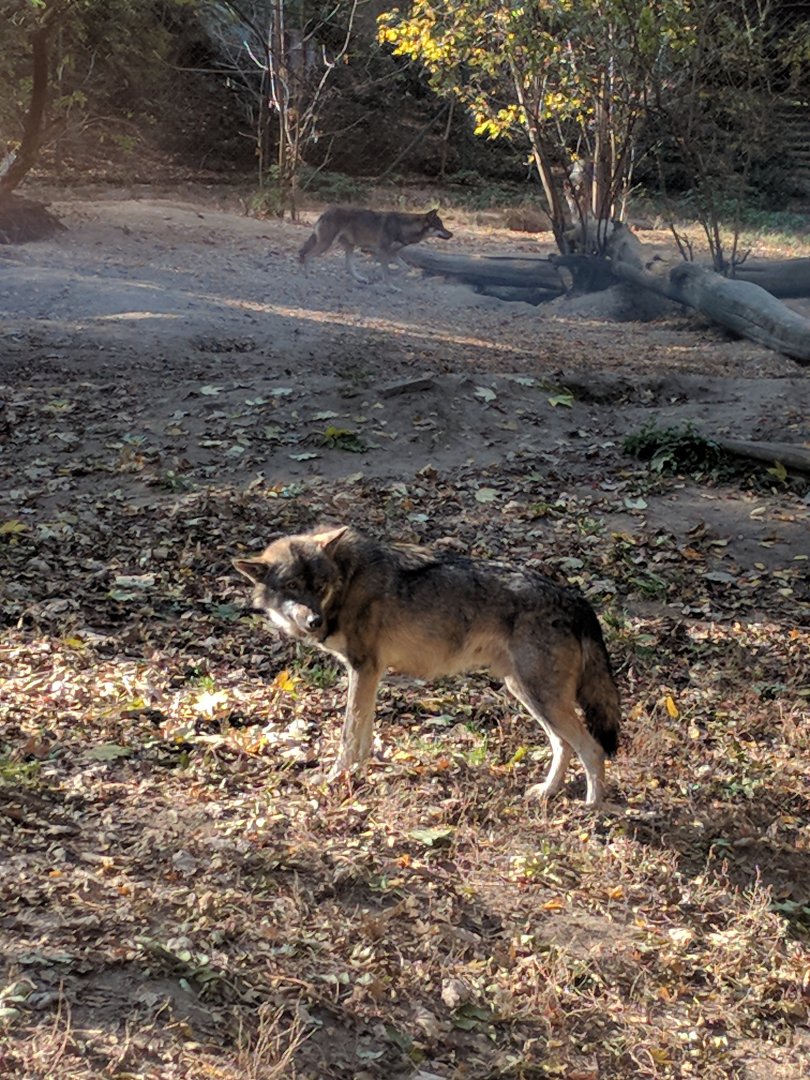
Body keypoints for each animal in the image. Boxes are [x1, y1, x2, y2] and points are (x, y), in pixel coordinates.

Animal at [234, 526, 621, 805]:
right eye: (293, 586)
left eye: (320, 585)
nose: (314, 621)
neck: (347, 582)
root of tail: (574, 597)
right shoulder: (369, 674)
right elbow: (363, 736)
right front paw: (356, 775)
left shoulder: (364, 669)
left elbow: (348, 736)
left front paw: (336, 778)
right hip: (527, 694)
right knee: (563, 745)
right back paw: (547, 792)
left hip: (542, 698)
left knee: (592, 749)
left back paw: (592, 810)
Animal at [298, 206, 452, 284]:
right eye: (440, 226)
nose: (451, 234)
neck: (403, 227)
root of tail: (325, 212)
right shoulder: (383, 252)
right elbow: (386, 272)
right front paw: (391, 286)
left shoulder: (392, 254)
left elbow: (405, 268)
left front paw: (395, 279)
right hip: (327, 244)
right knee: (308, 255)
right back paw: (307, 275)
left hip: (349, 246)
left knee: (348, 266)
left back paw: (361, 279)